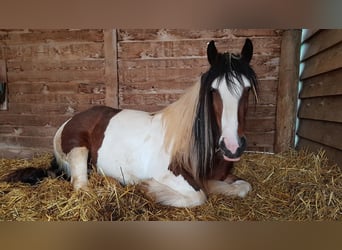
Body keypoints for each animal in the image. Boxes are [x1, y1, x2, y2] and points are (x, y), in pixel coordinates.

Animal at [6, 38, 258, 207]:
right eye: (213, 91)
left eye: (247, 89)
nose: (232, 147)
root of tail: (68, 120)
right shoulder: (172, 176)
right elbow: (198, 196)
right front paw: (148, 188)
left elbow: (243, 187)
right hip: (78, 150)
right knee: (82, 186)